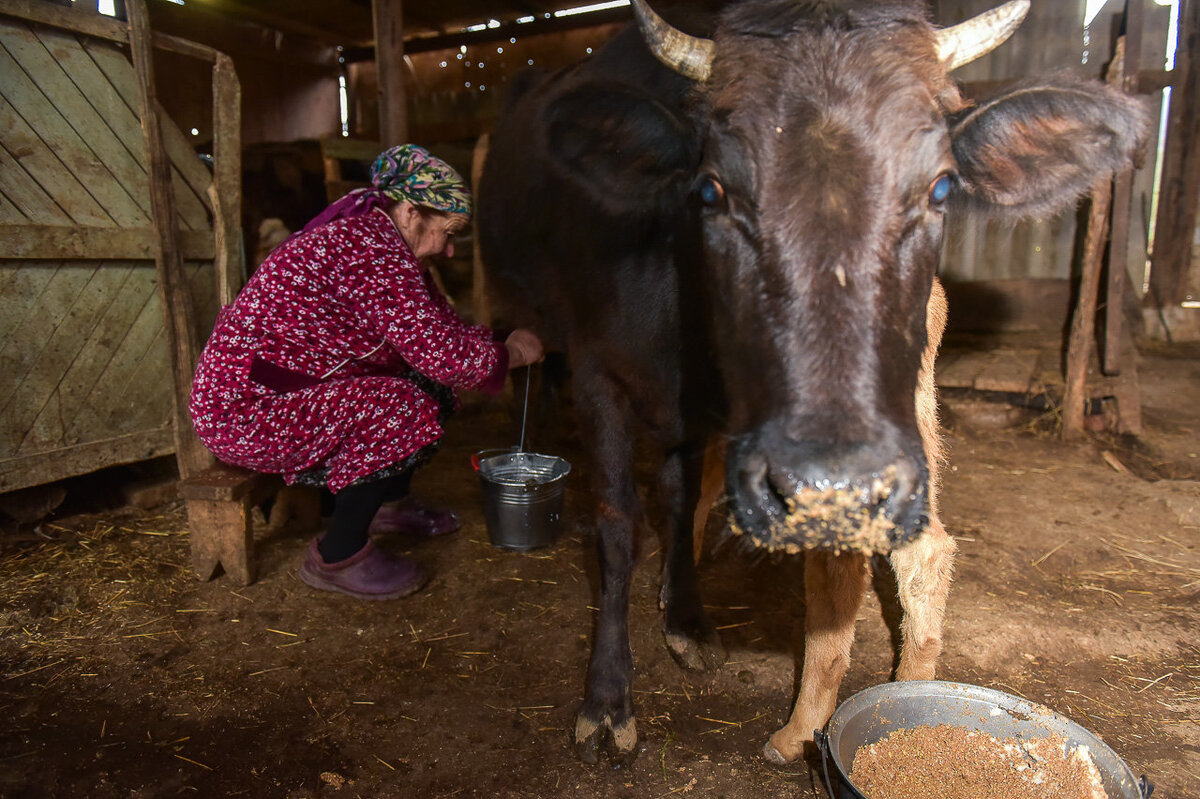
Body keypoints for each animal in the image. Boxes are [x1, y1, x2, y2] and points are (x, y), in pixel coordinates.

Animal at [475, 0, 1142, 763]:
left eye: (942, 187)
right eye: (711, 189)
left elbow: (669, 506)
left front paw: (665, 640)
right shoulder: (604, 377)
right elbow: (625, 522)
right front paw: (622, 683)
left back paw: (813, 721)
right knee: (913, 553)